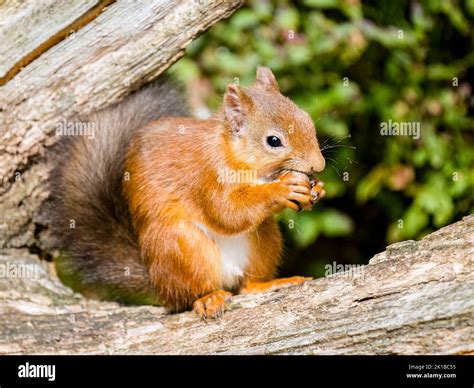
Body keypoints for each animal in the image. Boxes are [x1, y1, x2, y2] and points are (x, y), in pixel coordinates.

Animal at [47, 66, 326, 320]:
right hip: (182, 246)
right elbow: (226, 212)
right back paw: (208, 298)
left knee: (246, 286)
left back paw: (268, 283)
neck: (234, 155)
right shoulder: (206, 175)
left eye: (307, 119)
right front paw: (281, 188)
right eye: (273, 141)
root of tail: (157, 280)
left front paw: (318, 189)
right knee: (190, 294)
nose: (319, 165)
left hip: (264, 237)